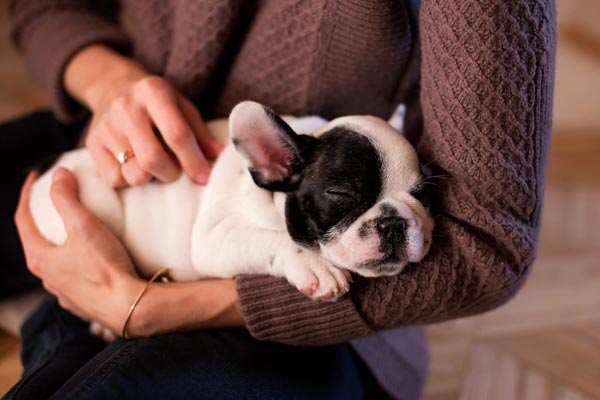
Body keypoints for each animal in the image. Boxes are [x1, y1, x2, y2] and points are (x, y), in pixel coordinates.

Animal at [28, 100, 434, 300]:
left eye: (422, 195)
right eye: (341, 194)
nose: (393, 222)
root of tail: (47, 167)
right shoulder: (215, 235)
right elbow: (273, 239)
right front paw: (315, 265)